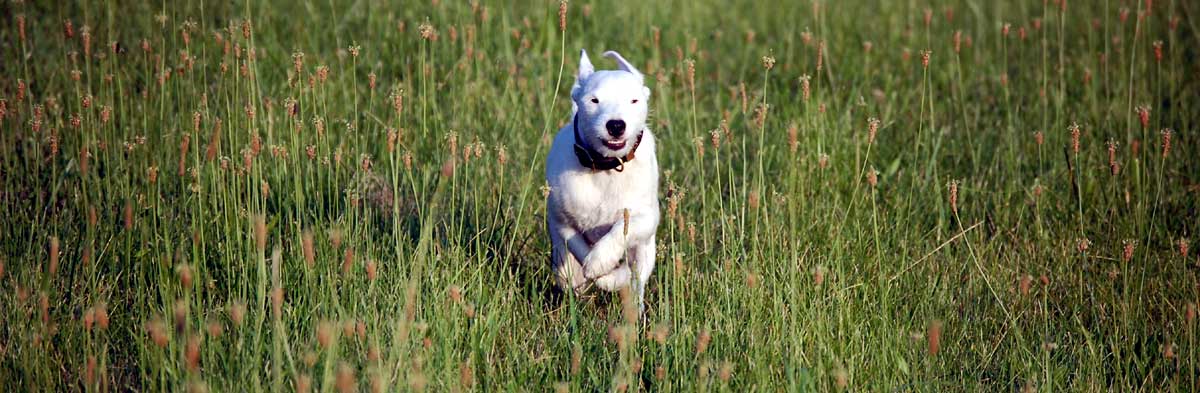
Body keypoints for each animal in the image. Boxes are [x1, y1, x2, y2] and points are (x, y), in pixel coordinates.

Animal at [547, 50, 662, 313]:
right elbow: (579, 247)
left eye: (634, 101)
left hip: (646, 251)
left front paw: (604, 263)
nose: (616, 125)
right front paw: (598, 269)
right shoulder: (561, 221)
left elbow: (622, 229)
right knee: (568, 274)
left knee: (638, 278)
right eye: (594, 101)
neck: (606, 168)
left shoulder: (646, 218)